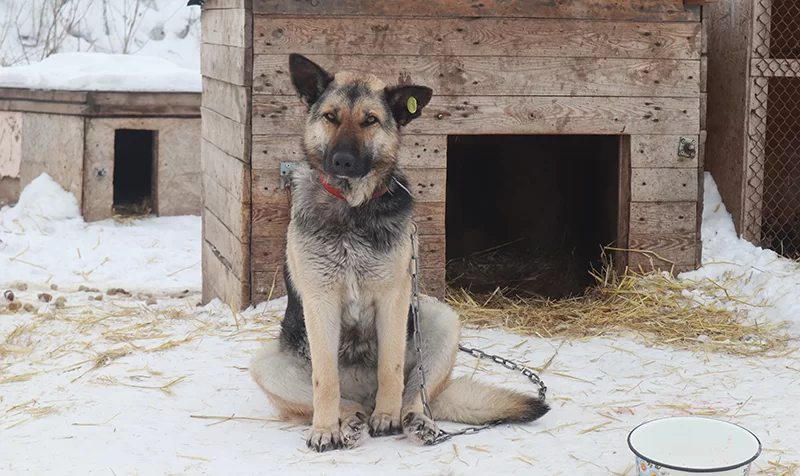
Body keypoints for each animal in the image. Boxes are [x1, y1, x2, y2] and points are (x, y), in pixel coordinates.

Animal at [250, 54, 552, 452]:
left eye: (370, 120)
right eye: (330, 116)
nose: (342, 161)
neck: (353, 207)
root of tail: (364, 393)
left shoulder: (393, 299)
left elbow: (391, 368)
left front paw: (387, 416)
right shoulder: (320, 301)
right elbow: (325, 380)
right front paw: (325, 429)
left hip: (439, 319)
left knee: (416, 394)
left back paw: (412, 419)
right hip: (266, 364)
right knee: (344, 399)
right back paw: (350, 421)